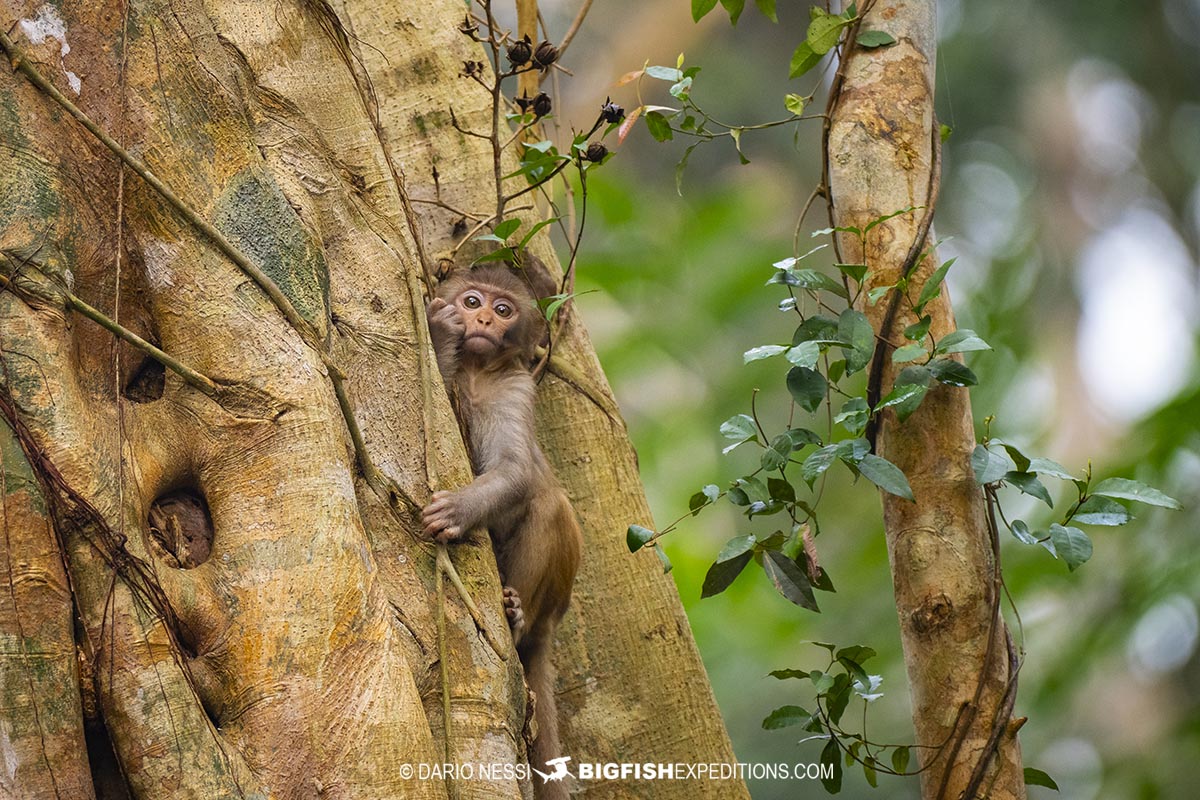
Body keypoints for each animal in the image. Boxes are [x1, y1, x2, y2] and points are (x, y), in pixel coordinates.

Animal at [422, 263, 582, 798]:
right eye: (473, 301)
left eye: (504, 309)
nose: (484, 320)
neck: (479, 371)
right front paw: (441, 332)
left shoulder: (516, 388)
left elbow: (515, 471)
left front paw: (459, 509)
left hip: (556, 591)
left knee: (548, 505)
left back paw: (514, 617)